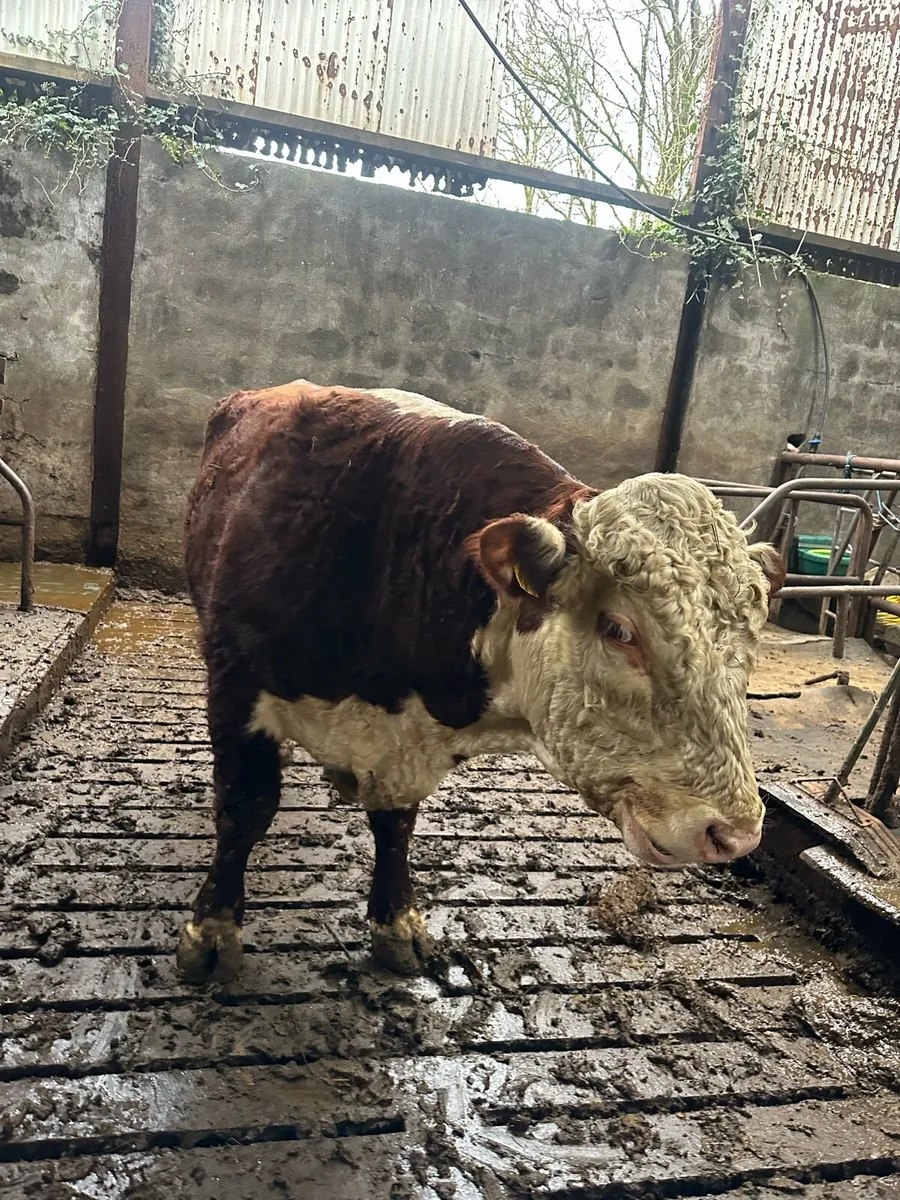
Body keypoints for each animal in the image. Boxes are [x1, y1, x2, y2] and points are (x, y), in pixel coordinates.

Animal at [177, 380, 783, 984]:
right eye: (618, 629)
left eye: (753, 634)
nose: (734, 835)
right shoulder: (236, 686)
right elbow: (245, 808)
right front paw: (211, 932)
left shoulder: (402, 750)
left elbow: (395, 826)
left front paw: (396, 924)